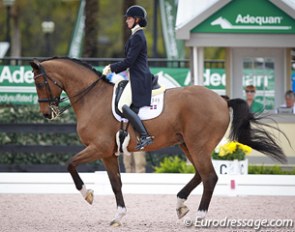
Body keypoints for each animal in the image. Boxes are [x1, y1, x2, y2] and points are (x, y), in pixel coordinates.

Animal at [30, 57, 286, 227]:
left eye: (40, 83)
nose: (46, 113)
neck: (93, 98)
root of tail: (222, 100)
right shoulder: (108, 153)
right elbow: (115, 183)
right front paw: (118, 216)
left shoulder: (98, 148)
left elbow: (71, 164)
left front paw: (88, 194)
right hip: (188, 145)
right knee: (200, 175)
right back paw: (180, 205)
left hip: (198, 145)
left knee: (209, 177)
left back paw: (199, 217)